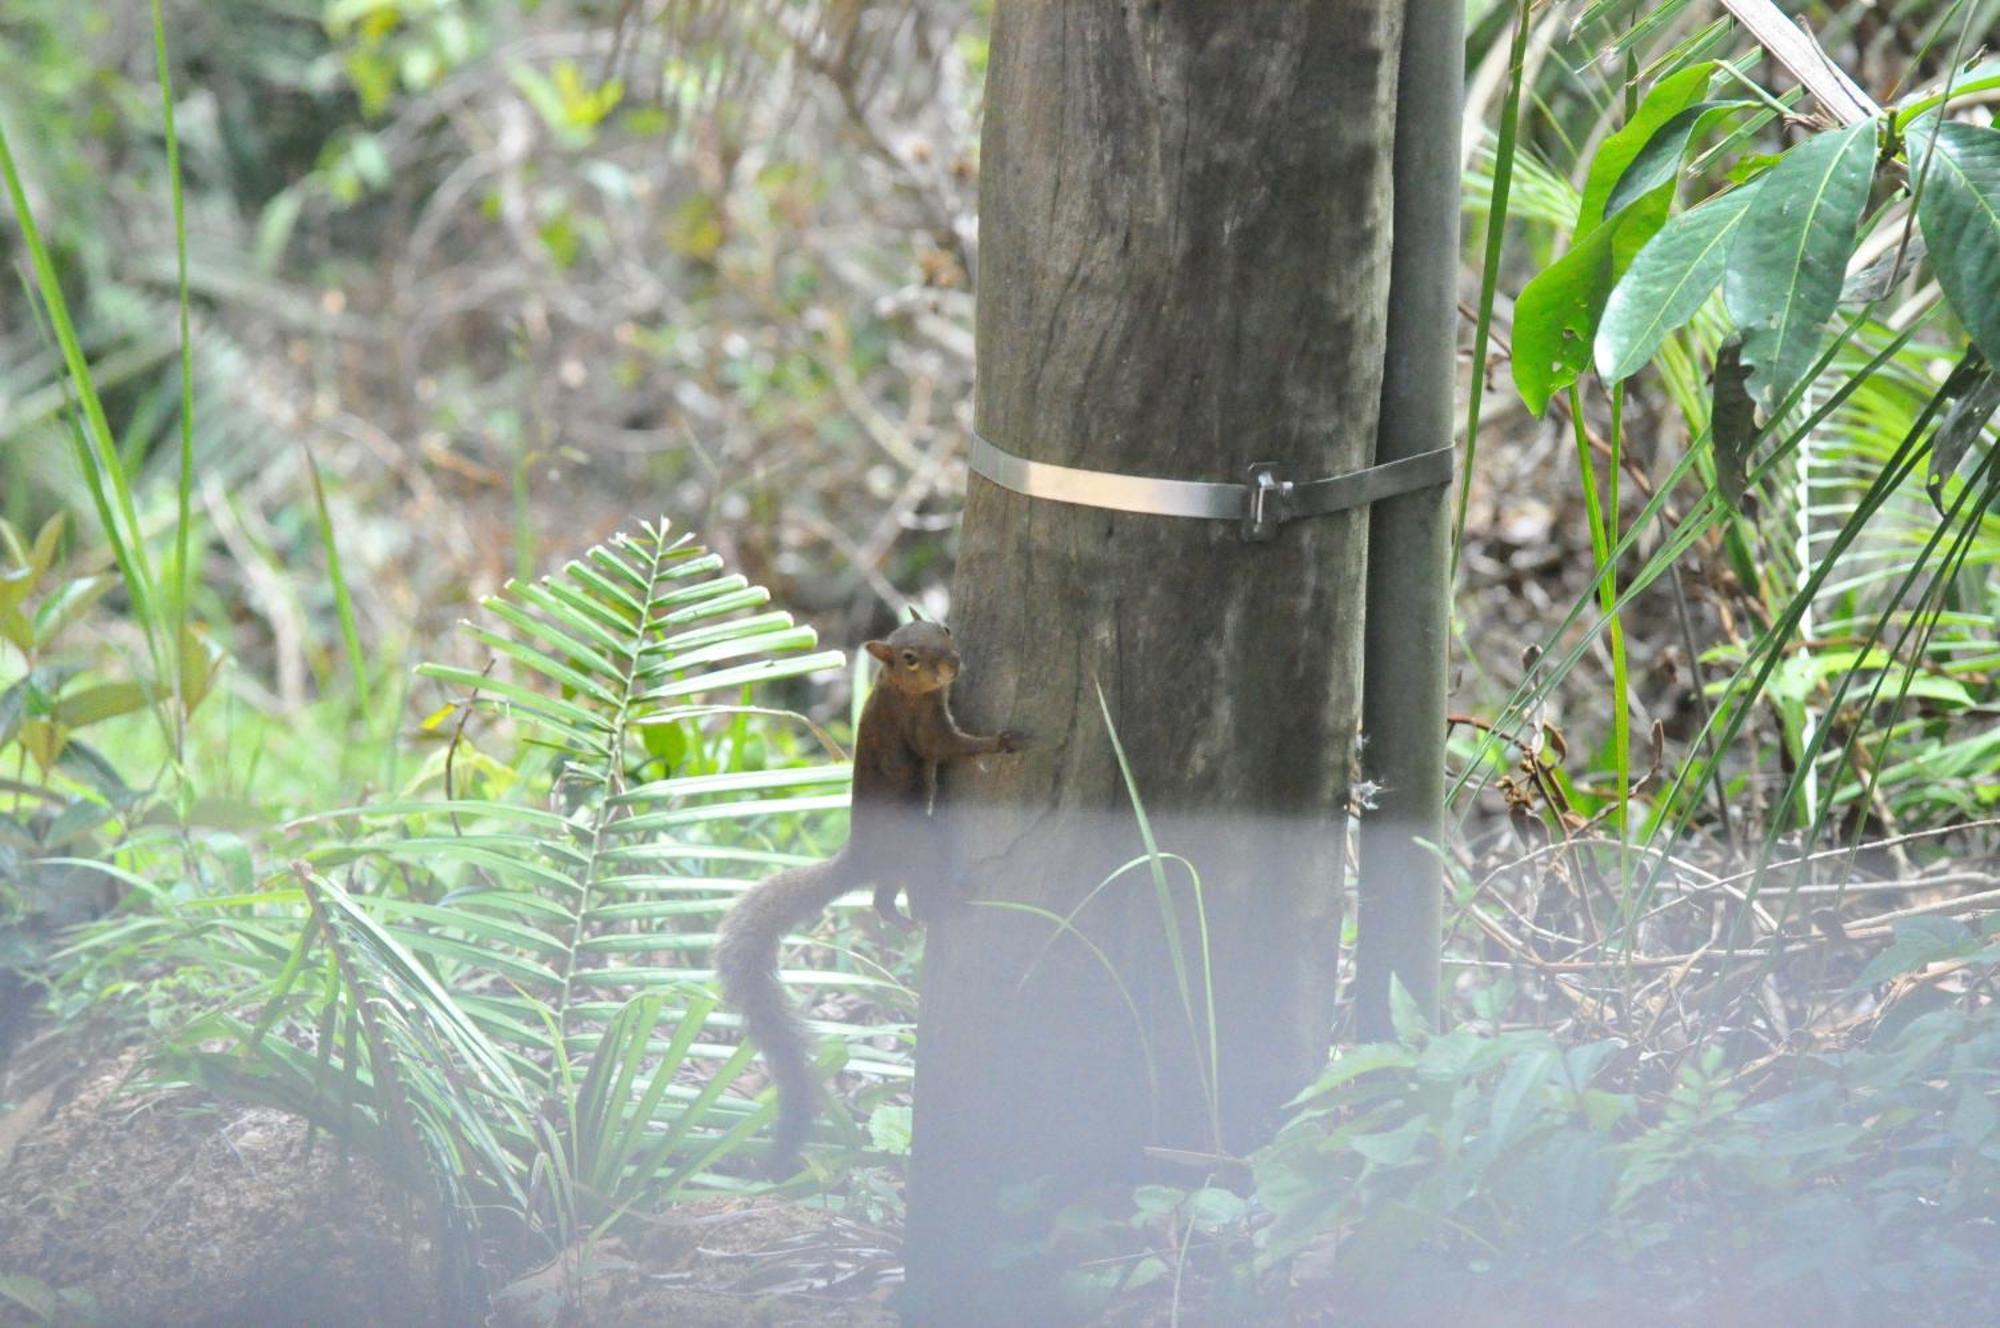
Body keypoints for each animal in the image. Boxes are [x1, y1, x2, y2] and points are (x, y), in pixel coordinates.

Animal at [716, 624, 1024, 1176]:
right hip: (922, 842)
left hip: (899, 864)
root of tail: (858, 859)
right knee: (909, 895)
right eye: (910, 657)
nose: (952, 664)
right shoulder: (922, 726)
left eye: (945, 630)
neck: (897, 688)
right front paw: (999, 742)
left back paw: (901, 922)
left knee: (881, 900)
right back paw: (941, 909)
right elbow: (949, 746)